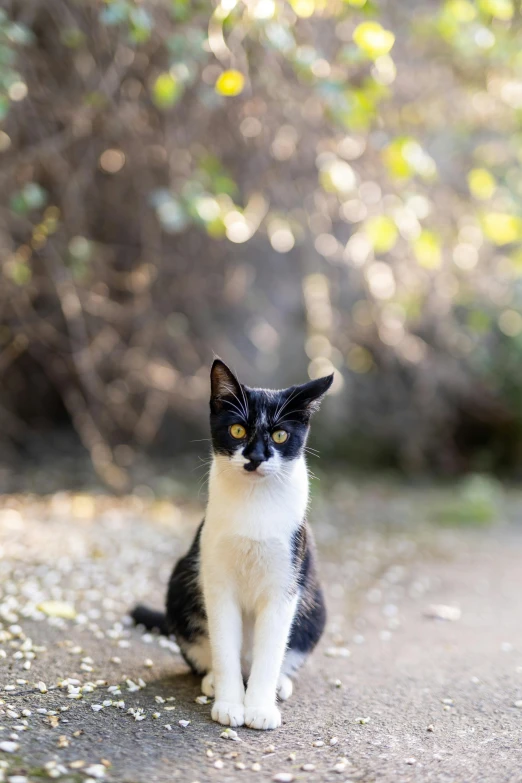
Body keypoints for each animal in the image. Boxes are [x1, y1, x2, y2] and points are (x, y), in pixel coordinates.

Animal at [132, 358, 332, 732]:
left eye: (280, 435)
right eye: (237, 430)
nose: (255, 457)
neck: (254, 503)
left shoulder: (284, 585)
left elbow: (271, 650)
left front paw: (260, 708)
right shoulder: (216, 580)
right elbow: (224, 644)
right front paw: (229, 703)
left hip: (315, 602)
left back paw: (278, 684)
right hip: (180, 583)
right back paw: (214, 681)